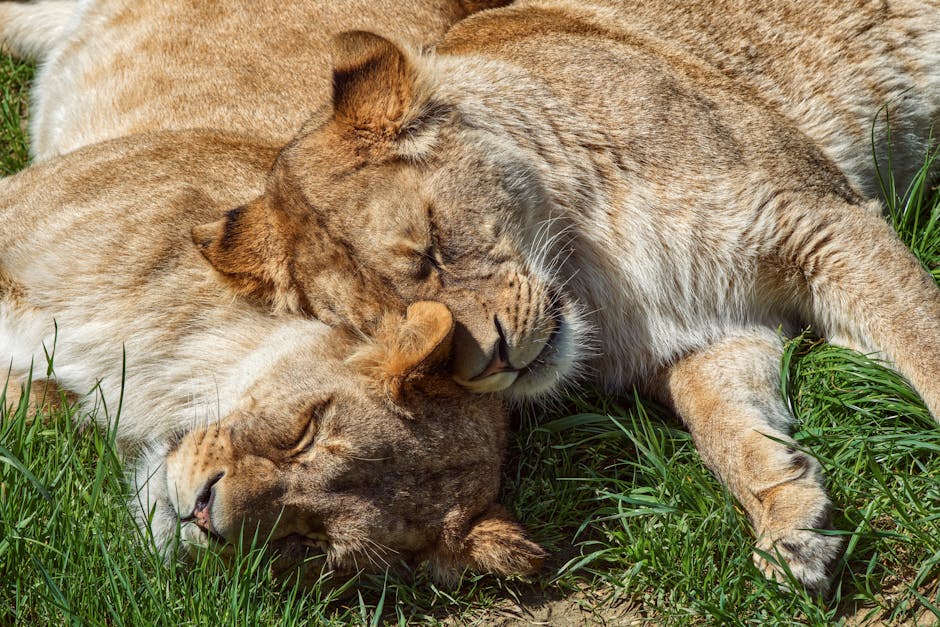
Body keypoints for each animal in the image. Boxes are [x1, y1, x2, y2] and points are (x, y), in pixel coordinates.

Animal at [186, 1, 940, 593]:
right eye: (385, 325)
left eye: (433, 246)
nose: (492, 363)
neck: (600, 281)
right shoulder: (711, 334)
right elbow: (727, 430)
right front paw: (790, 518)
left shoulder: (824, 219)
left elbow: (923, 342)